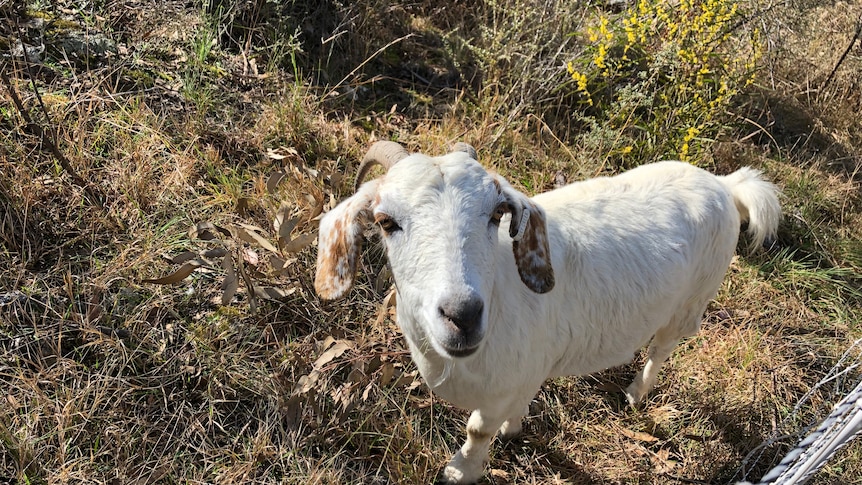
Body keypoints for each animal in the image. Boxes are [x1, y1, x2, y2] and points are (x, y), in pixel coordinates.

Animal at [312, 139, 784, 480]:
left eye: (495, 215)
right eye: (386, 222)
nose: (463, 316)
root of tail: (725, 184)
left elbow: (478, 430)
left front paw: (462, 470)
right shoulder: (528, 368)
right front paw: (514, 427)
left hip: (691, 302)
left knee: (662, 348)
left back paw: (635, 393)